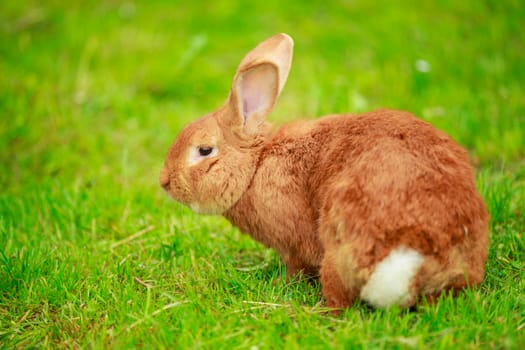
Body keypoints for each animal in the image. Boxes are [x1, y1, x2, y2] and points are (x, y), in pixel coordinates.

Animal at [159, 33, 488, 308]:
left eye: (204, 151)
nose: (164, 182)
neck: (256, 165)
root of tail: (412, 259)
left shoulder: (293, 244)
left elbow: (296, 266)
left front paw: (282, 284)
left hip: (337, 245)